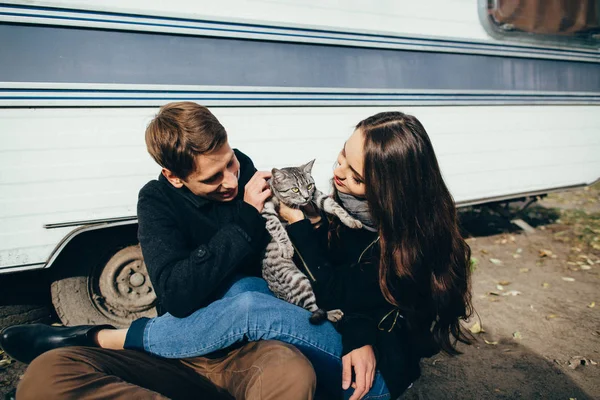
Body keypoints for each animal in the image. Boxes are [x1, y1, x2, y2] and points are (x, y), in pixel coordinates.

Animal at [258, 158, 360, 324]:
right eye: (295, 189)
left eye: (309, 186)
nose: (306, 197)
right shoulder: (266, 209)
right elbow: (276, 226)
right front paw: (286, 246)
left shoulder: (317, 195)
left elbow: (334, 205)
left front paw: (351, 220)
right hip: (299, 281)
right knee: (312, 309)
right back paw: (332, 313)